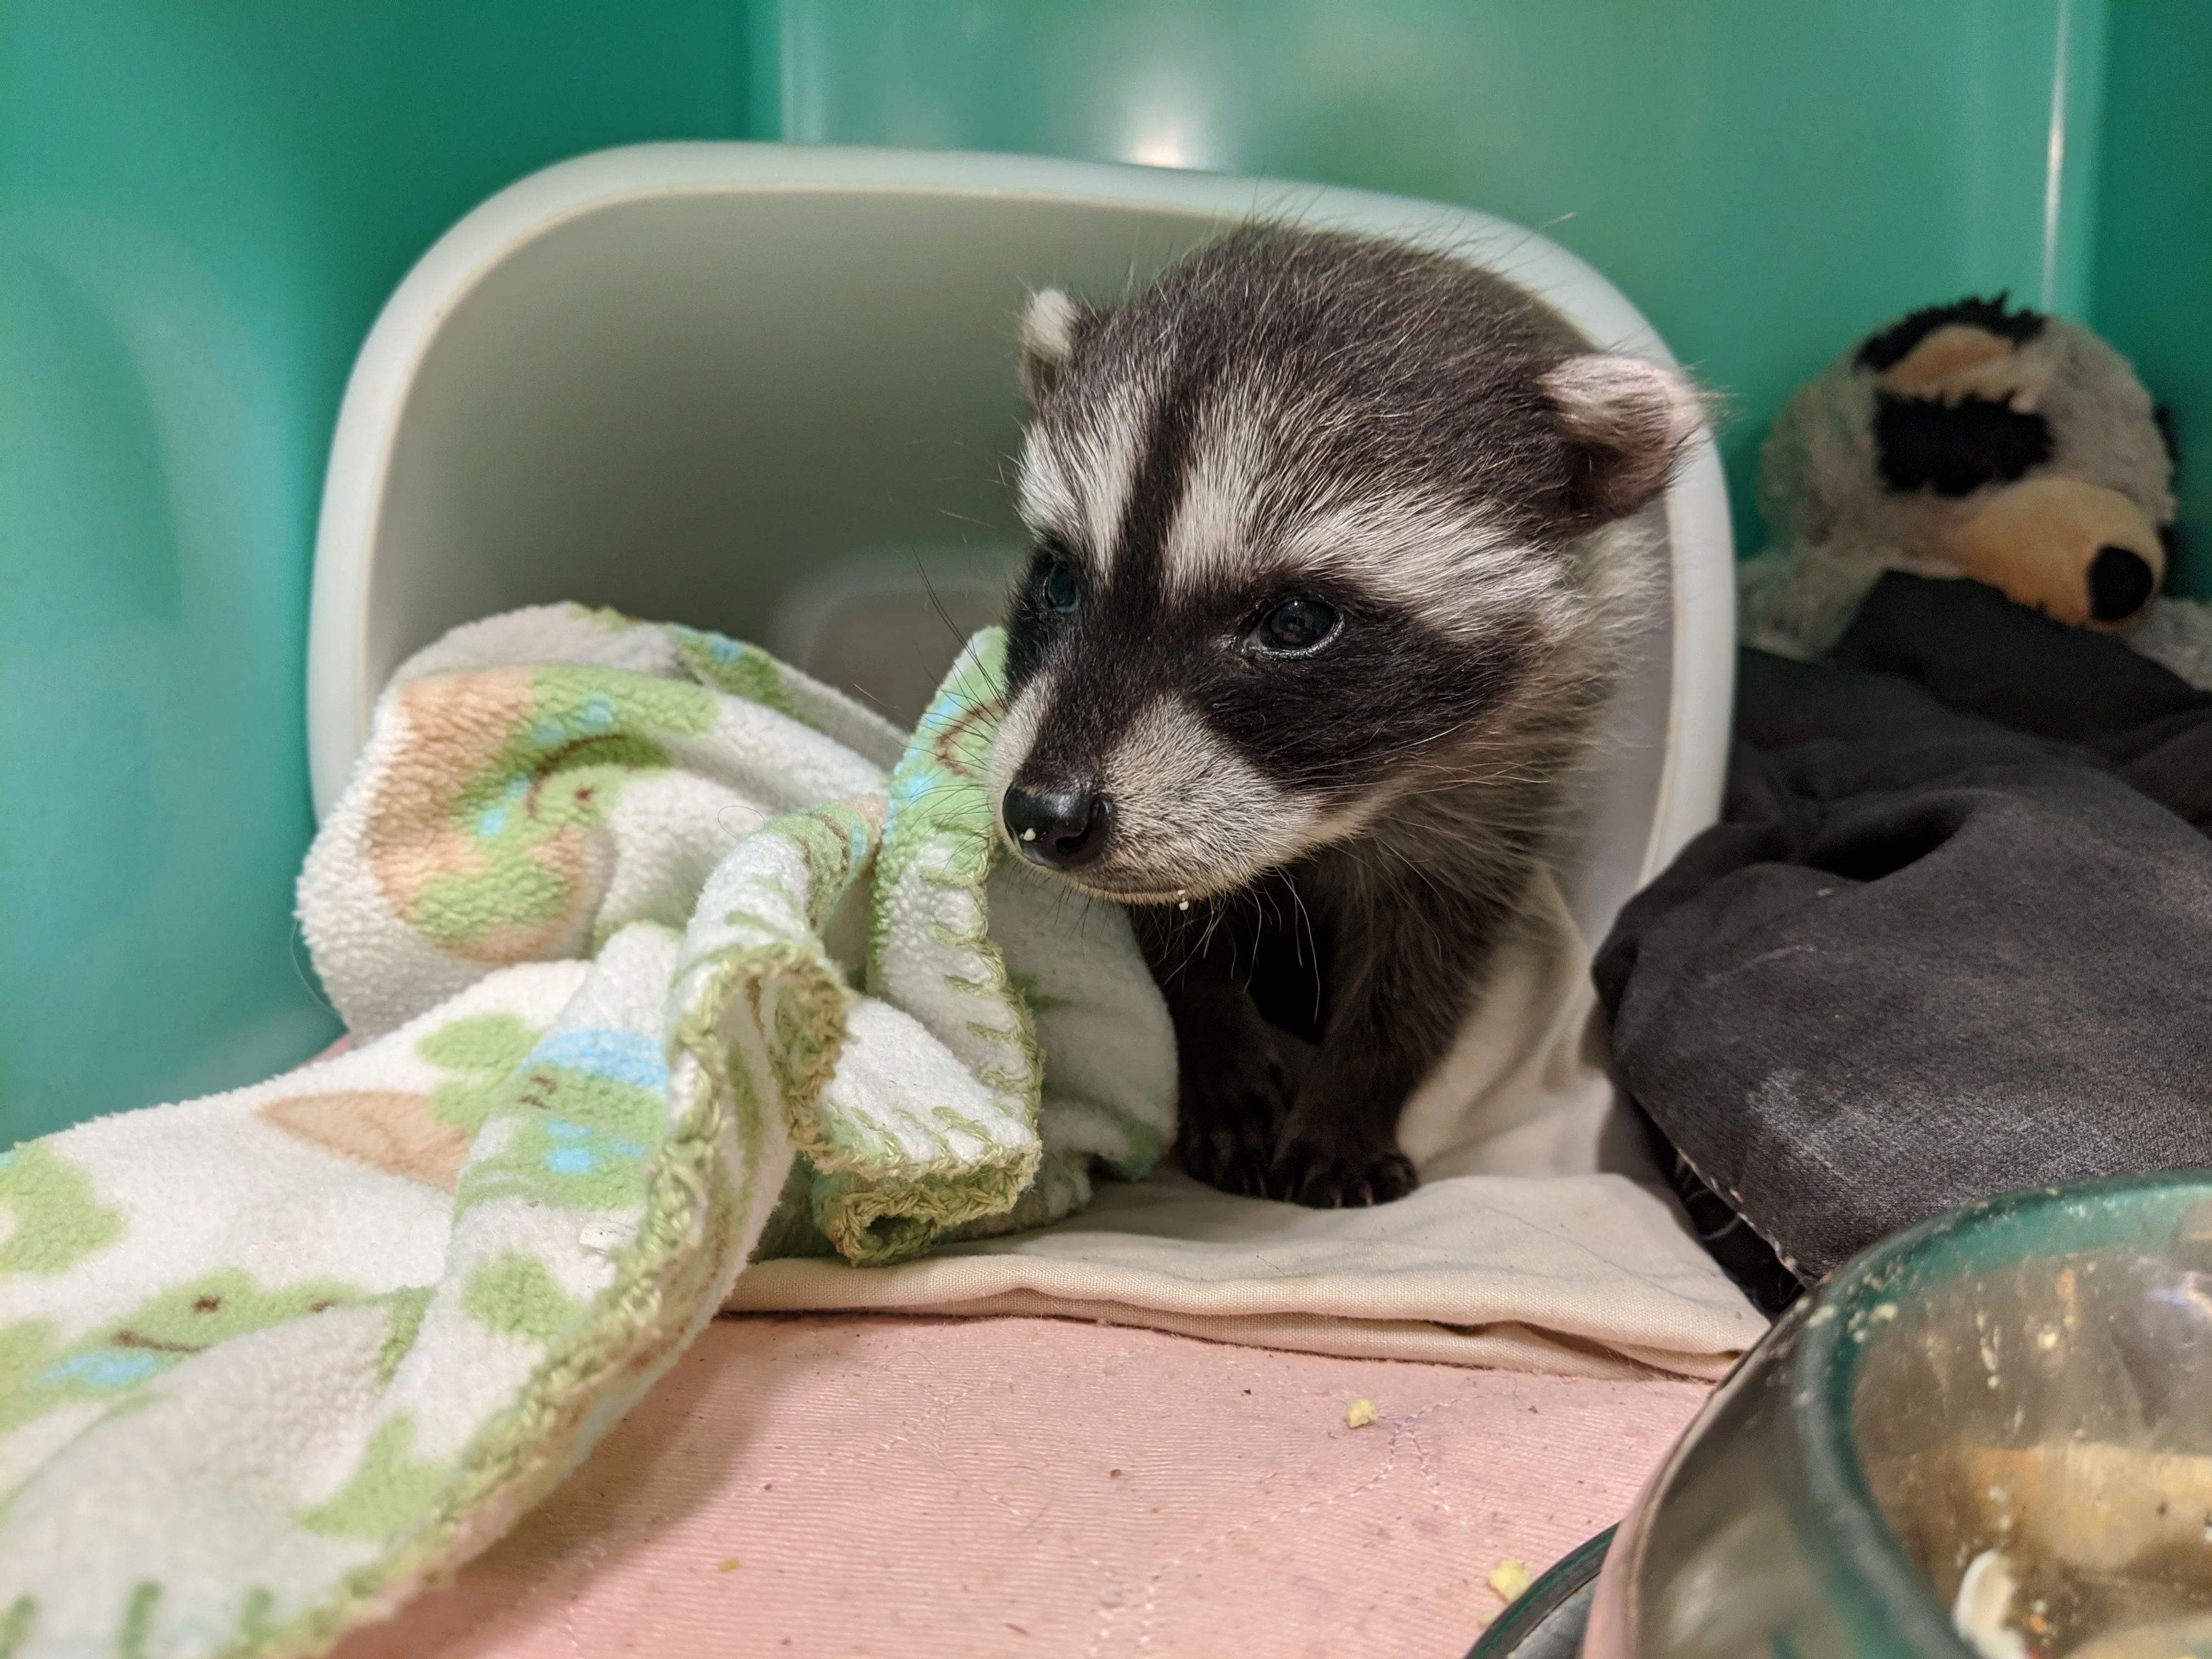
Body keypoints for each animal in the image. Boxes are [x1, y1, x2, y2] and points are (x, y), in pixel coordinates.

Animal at [987, 227, 1701, 1207]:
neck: (1339, 816)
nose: (1043, 813)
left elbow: (1432, 953)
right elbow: (1170, 921)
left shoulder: (1507, 782)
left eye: (1294, 622)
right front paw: (1209, 1027)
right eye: (1059, 580)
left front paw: (1359, 1090)